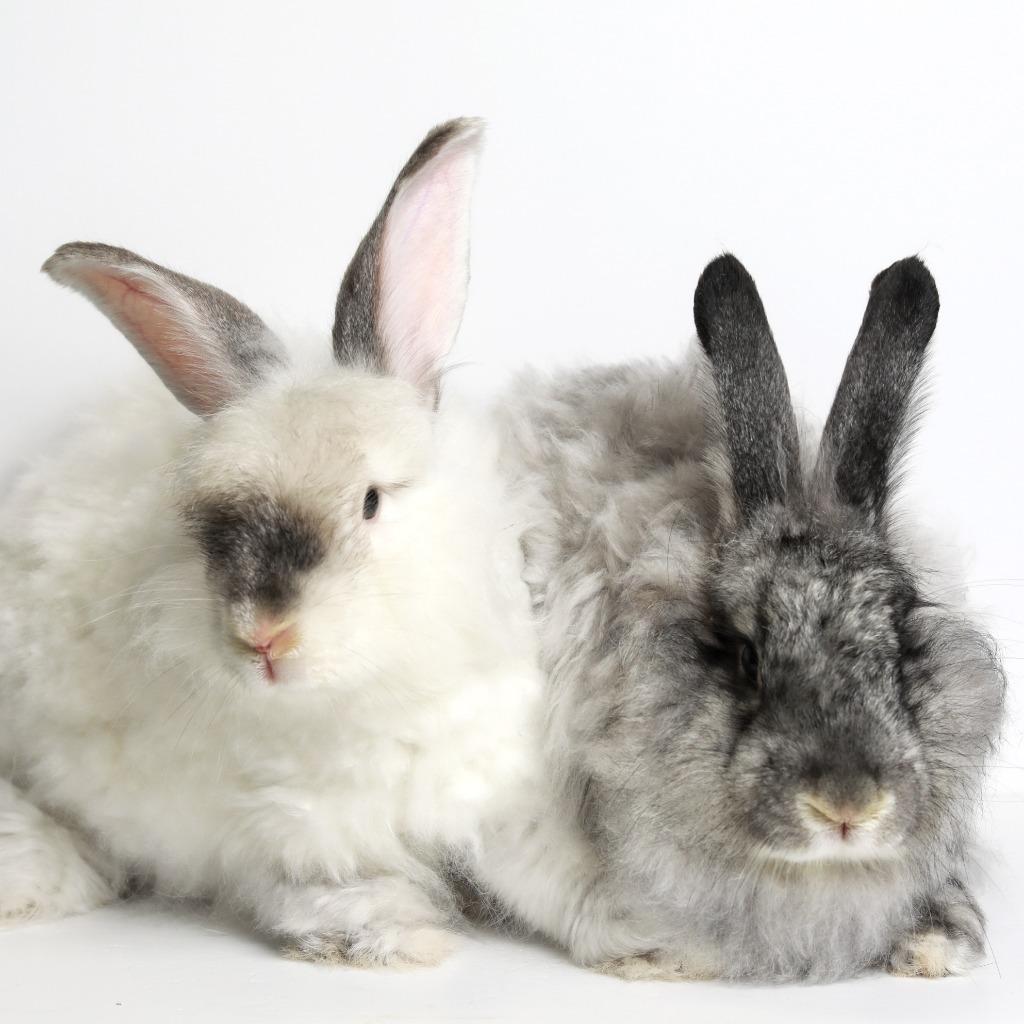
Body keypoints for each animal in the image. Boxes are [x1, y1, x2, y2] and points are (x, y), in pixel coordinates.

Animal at [0, 118, 550, 968]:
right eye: (208, 519)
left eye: (370, 501)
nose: (264, 635)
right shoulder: (290, 834)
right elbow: (323, 890)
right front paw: (397, 939)